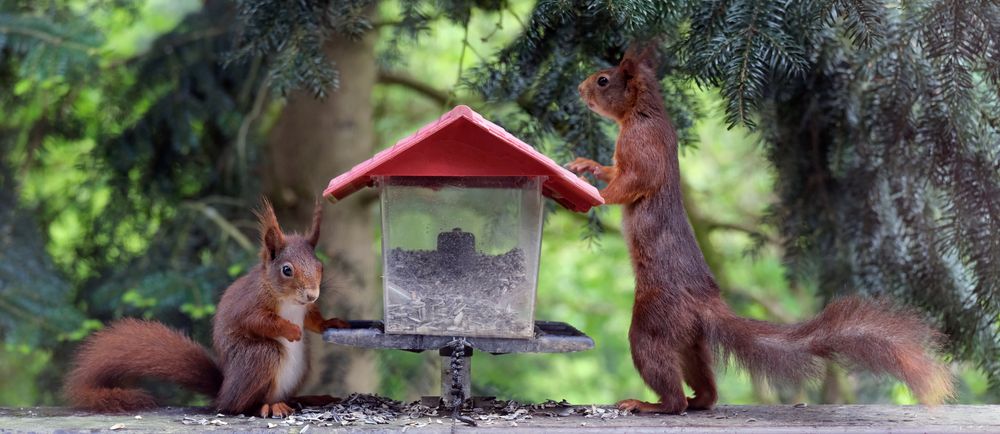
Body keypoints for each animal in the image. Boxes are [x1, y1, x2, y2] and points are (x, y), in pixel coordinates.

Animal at [63, 199, 352, 418]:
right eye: (287, 270)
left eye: (320, 266)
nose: (312, 294)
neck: (289, 301)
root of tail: (223, 391)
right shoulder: (250, 304)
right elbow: (258, 322)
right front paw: (290, 330)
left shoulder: (305, 310)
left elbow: (313, 320)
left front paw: (331, 323)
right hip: (260, 357)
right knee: (240, 406)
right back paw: (268, 406)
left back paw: (308, 399)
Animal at [572, 46, 952, 414]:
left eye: (603, 80)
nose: (579, 89)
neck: (642, 112)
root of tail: (705, 305)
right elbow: (613, 171)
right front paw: (586, 167)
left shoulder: (644, 147)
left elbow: (632, 182)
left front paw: (597, 195)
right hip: (690, 338)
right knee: (706, 388)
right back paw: (697, 400)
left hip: (653, 324)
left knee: (669, 389)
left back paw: (651, 404)